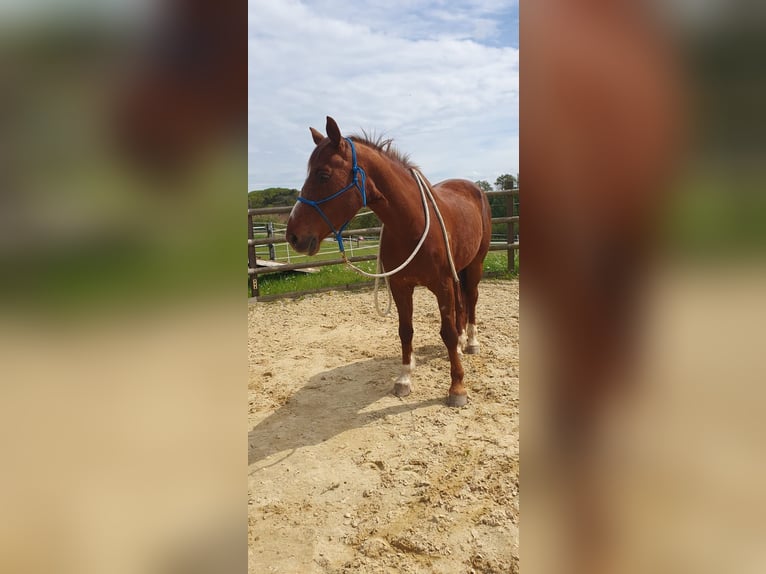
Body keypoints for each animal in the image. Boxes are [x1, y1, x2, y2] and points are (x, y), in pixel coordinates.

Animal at [286, 117, 492, 408]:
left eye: (323, 174)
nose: (293, 236)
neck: (413, 224)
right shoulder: (400, 285)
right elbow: (406, 331)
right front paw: (404, 379)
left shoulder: (441, 285)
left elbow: (447, 333)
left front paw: (457, 388)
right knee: (461, 304)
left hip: (474, 265)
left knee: (471, 299)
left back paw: (471, 342)